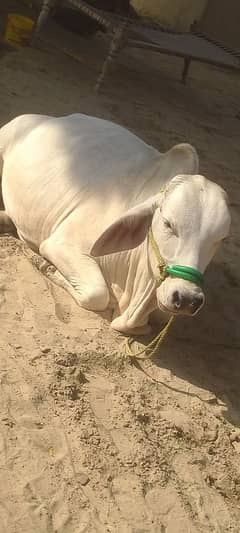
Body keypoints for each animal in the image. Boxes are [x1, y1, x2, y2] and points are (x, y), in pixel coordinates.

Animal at [0, 113, 230, 332]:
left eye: (221, 239)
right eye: (167, 224)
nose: (187, 298)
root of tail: (52, 119)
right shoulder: (61, 244)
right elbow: (98, 294)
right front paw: (47, 266)